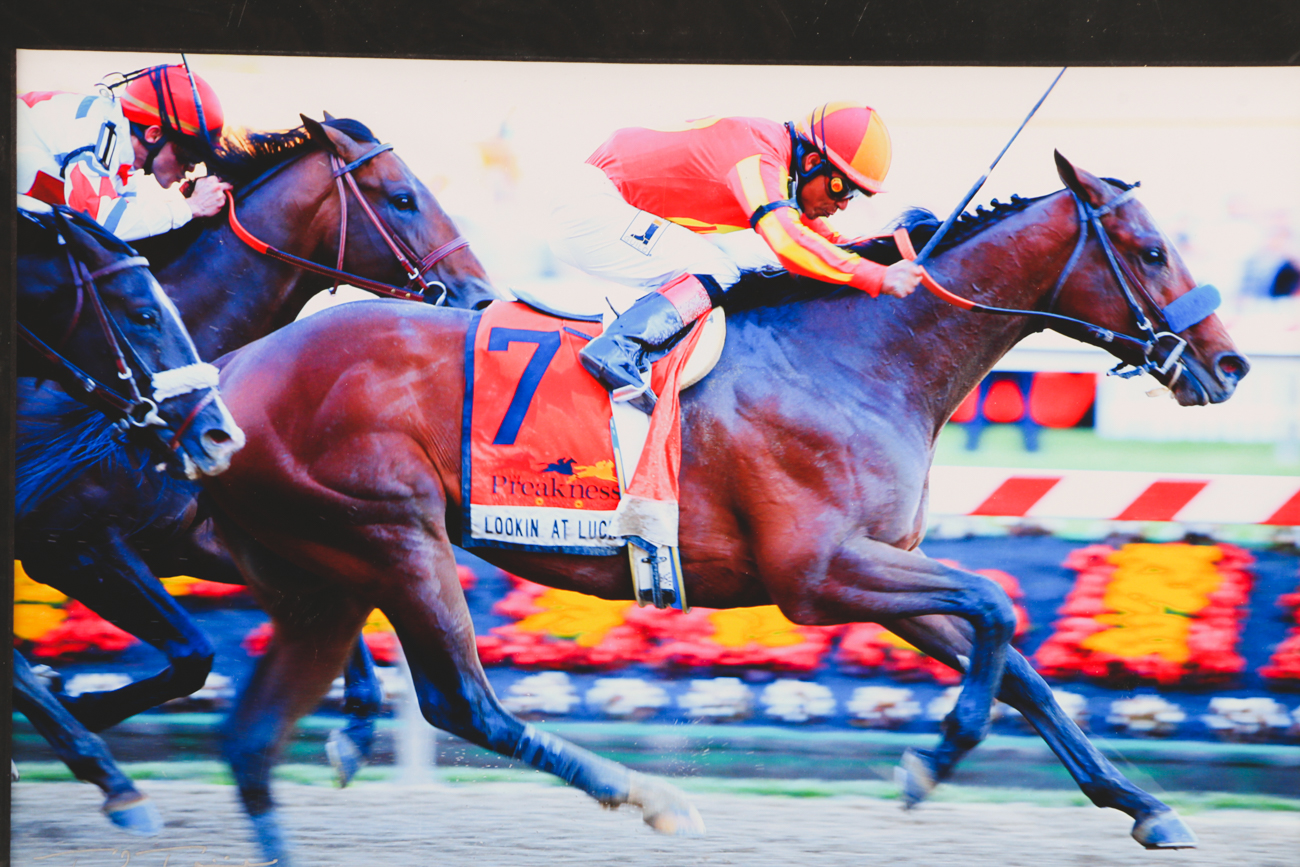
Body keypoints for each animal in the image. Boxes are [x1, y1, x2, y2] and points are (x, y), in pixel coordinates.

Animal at [14, 116, 501, 757]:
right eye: (402, 198)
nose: (480, 297)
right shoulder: (72, 543)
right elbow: (195, 652)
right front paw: (78, 705)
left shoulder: (190, 537)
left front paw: (355, 724)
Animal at [200, 152, 1247, 864]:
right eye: (1151, 249)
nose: (1229, 363)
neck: (862, 354)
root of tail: (227, 375)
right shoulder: (820, 573)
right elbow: (996, 605)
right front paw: (933, 757)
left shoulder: (880, 565)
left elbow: (1018, 663)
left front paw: (1143, 803)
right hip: (393, 531)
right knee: (463, 699)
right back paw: (648, 796)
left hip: (324, 573)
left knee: (256, 735)